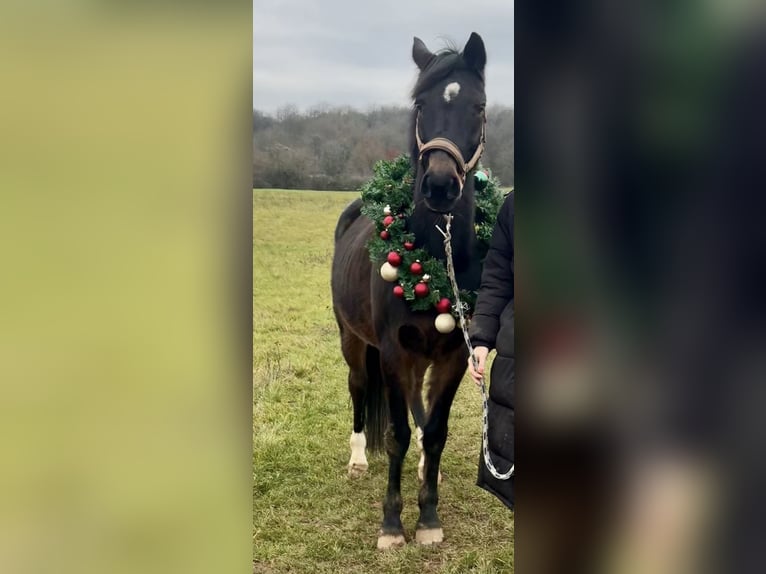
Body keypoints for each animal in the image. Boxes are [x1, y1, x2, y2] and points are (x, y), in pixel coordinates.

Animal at [331, 32, 488, 549]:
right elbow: (398, 432)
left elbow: (434, 430)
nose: (439, 185)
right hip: (354, 341)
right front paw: (392, 524)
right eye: (420, 104)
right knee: (359, 388)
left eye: (479, 107)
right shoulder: (395, 352)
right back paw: (359, 459)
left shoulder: (455, 355)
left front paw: (430, 516)